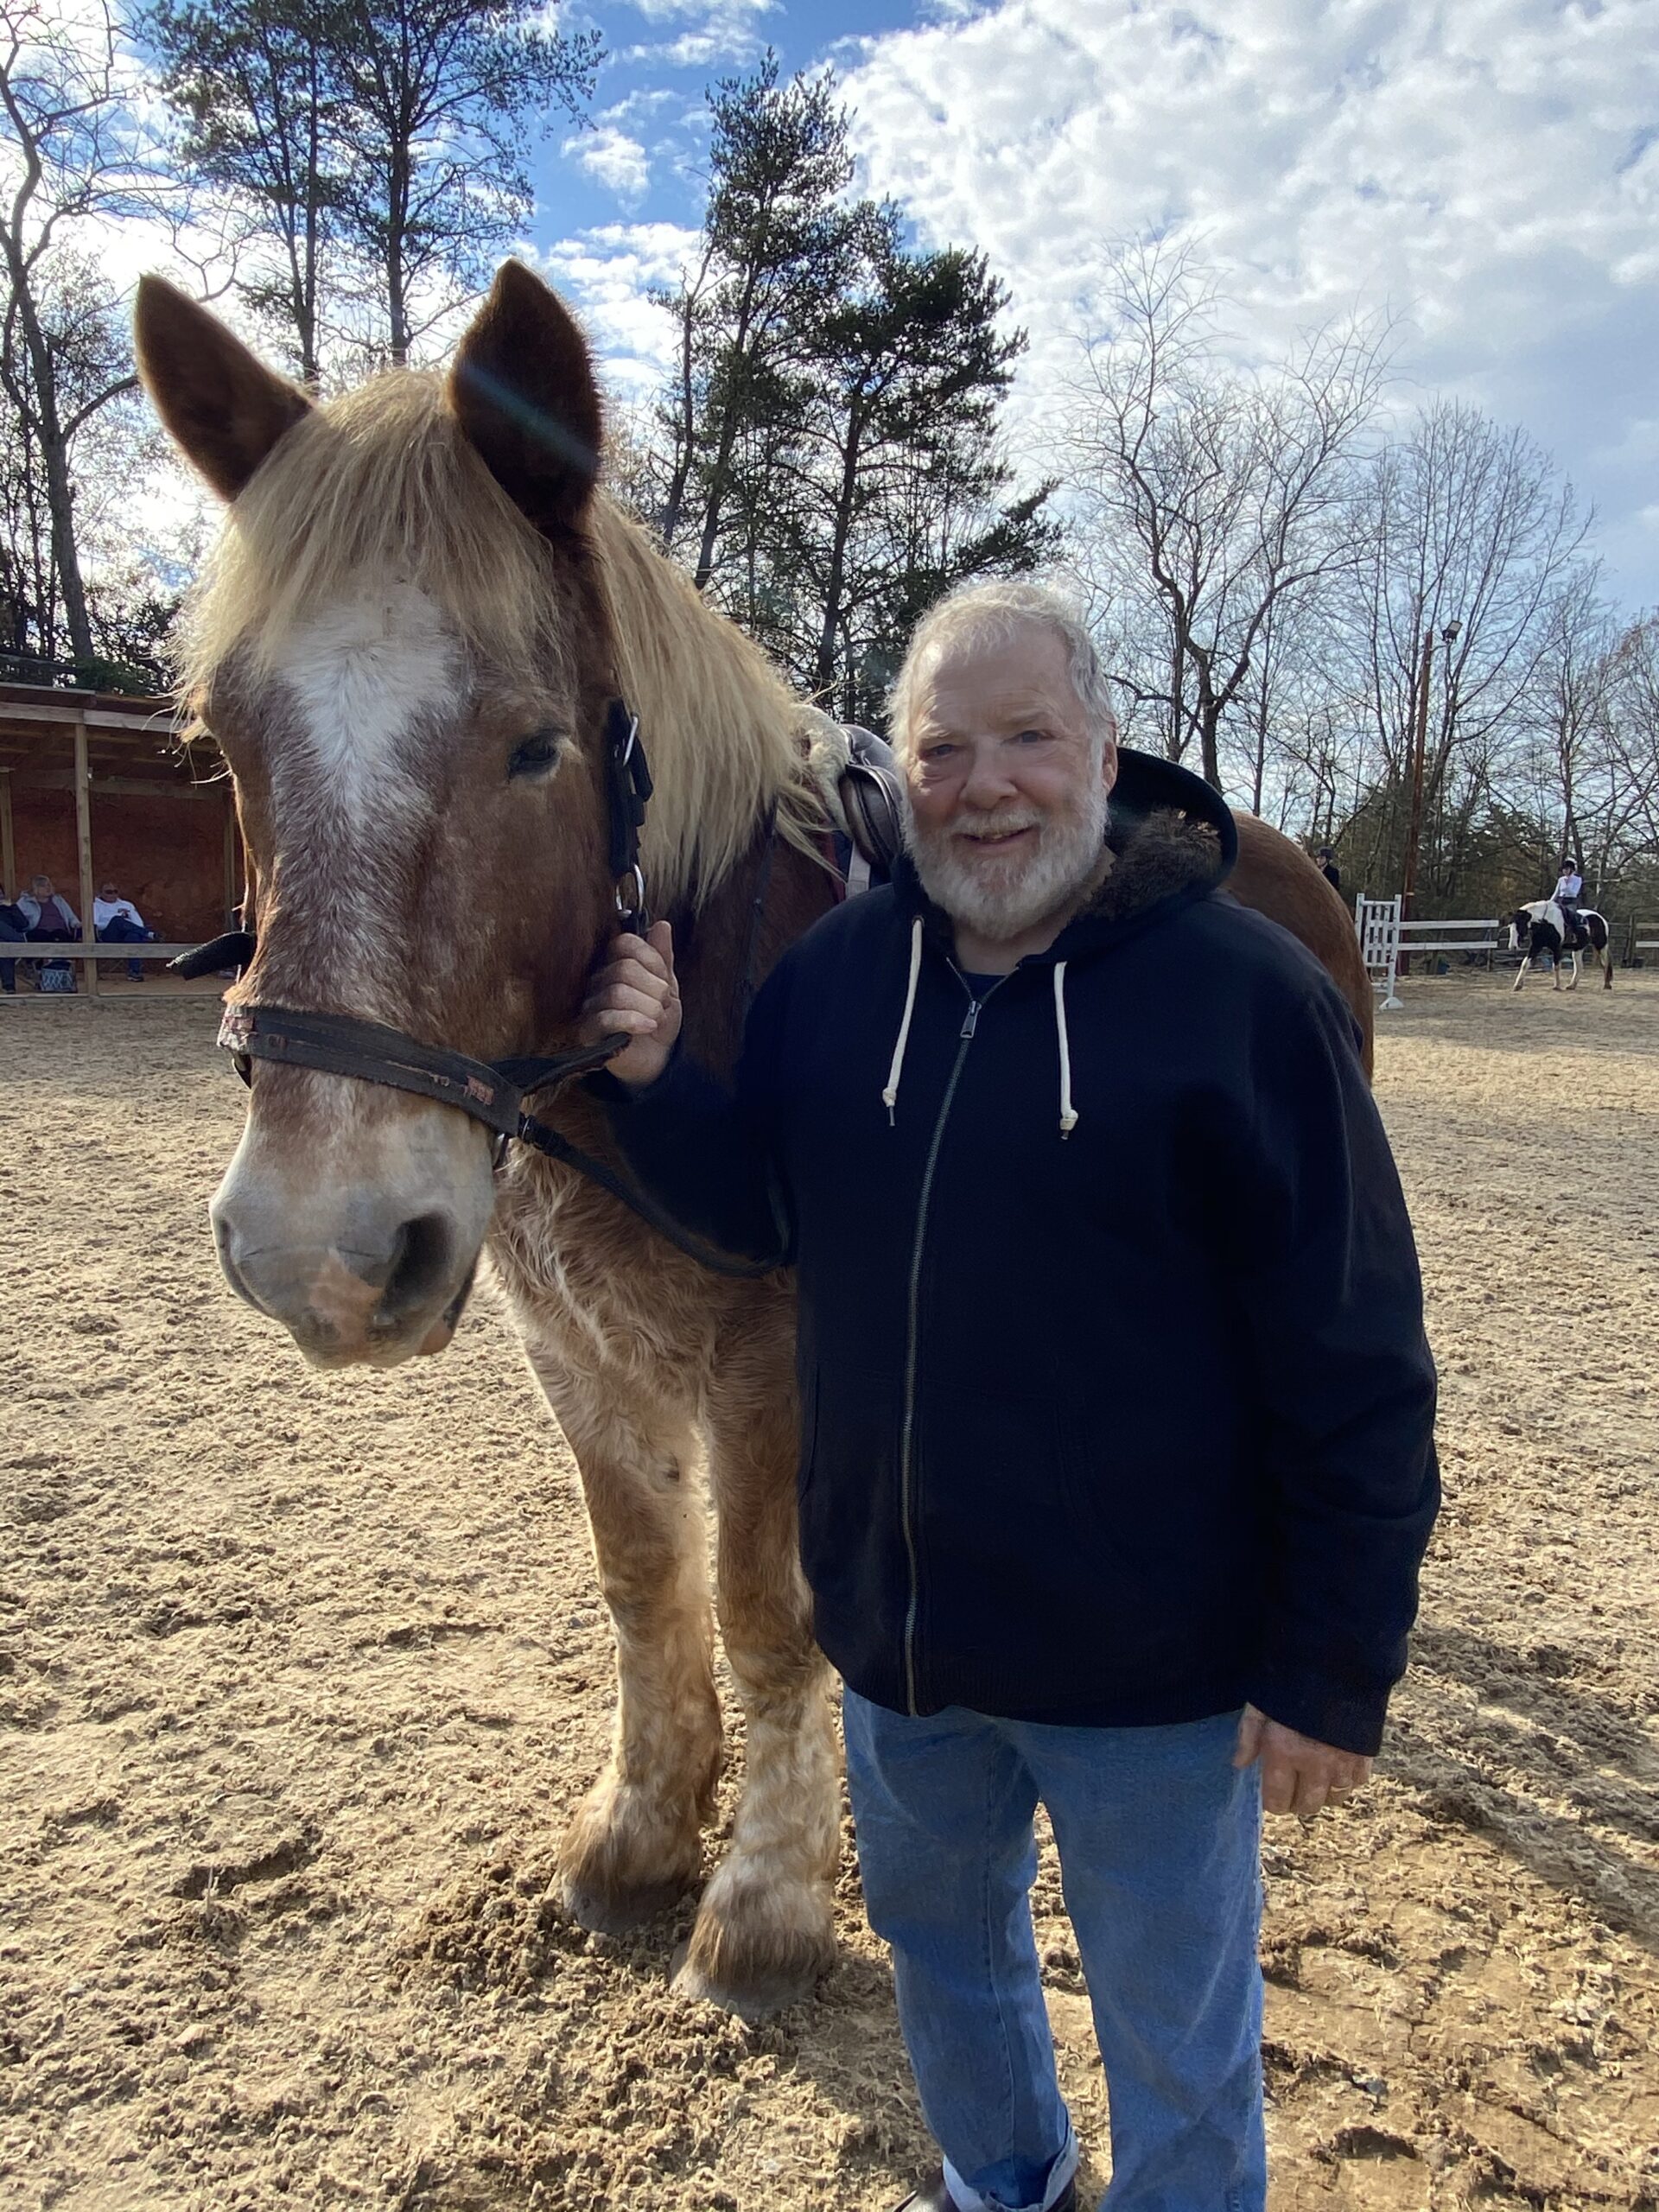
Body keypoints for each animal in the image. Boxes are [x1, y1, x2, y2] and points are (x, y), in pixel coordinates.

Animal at [133, 259, 1376, 2017]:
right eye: (229, 741)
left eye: (537, 744)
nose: (323, 1249)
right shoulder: (577, 1357)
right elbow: (644, 1589)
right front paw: (640, 1834)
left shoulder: (775, 1372)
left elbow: (764, 1616)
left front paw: (764, 1903)